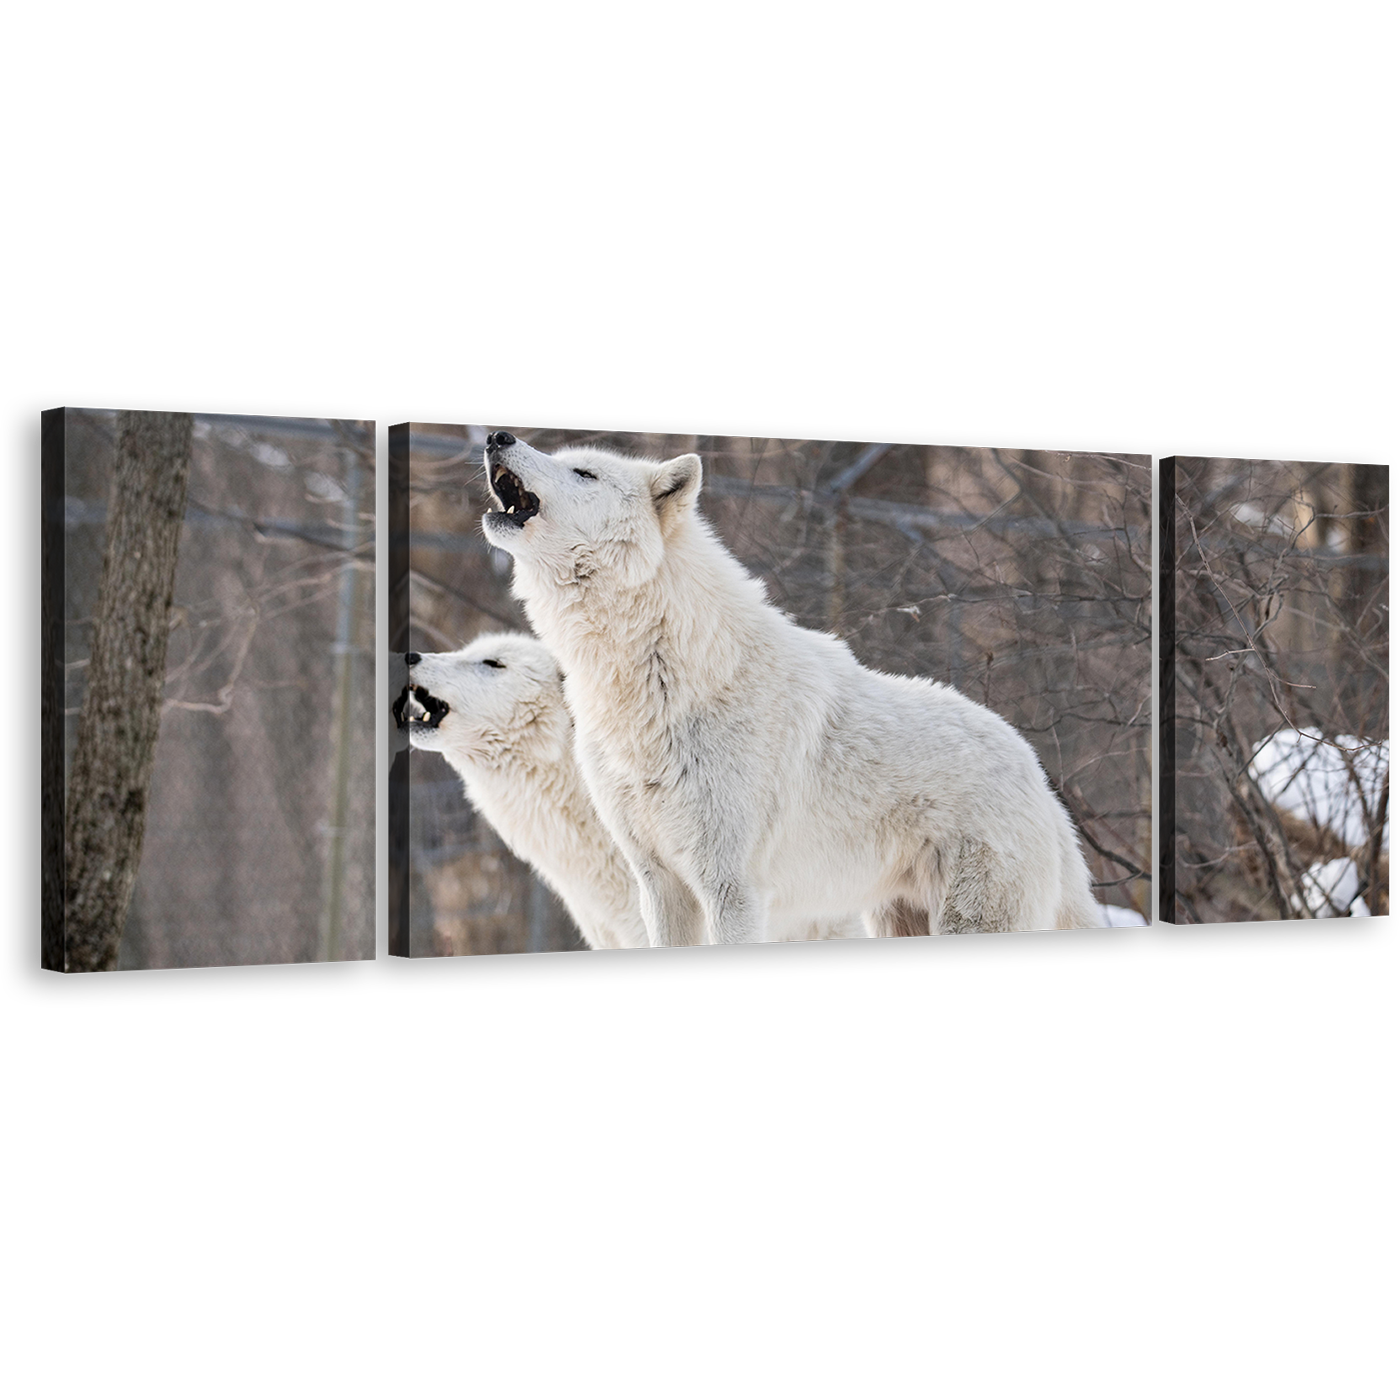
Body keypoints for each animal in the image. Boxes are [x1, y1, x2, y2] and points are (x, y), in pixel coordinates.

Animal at [481, 431, 1103, 946]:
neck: (658, 678)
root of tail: (1039, 779)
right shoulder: (658, 881)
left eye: (584, 473)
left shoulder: (731, 885)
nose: (496, 436)